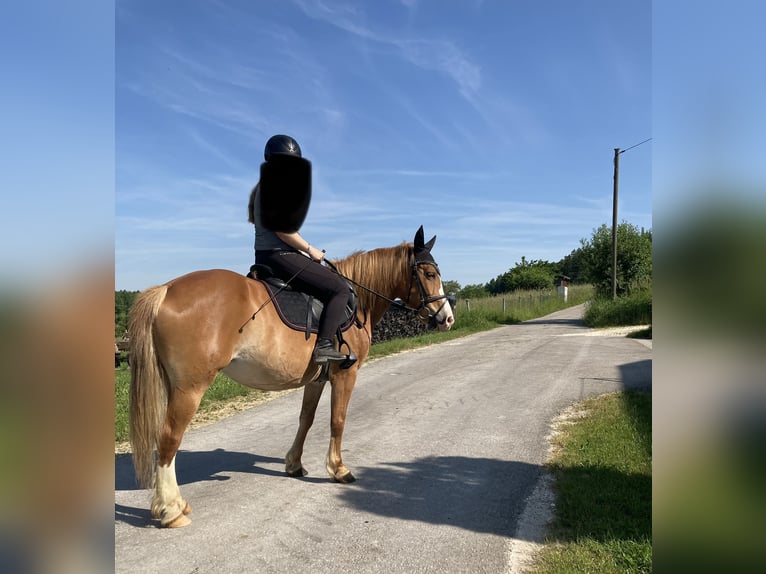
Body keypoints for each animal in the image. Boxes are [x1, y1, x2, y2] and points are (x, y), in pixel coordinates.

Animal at [129, 225, 456, 528]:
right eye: (428, 273)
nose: (448, 318)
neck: (357, 300)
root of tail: (167, 289)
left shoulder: (316, 379)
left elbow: (306, 420)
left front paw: (294, 465)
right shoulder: (345, 375)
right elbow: (337, 421)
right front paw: (338, 469)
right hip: (190, 388)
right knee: (169, 438)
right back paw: (171, 510)